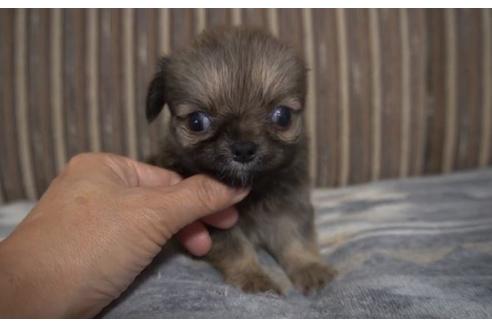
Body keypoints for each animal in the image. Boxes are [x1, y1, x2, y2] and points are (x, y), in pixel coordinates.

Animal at [144, 28, 336, 294]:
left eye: (283, 117)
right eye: (196, 122)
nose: (244, 149)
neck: (254, 189)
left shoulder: (289, 204)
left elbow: (295, 238)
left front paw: (310, 268)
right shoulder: (216, 224)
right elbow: (236, 249)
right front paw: (254, 277)